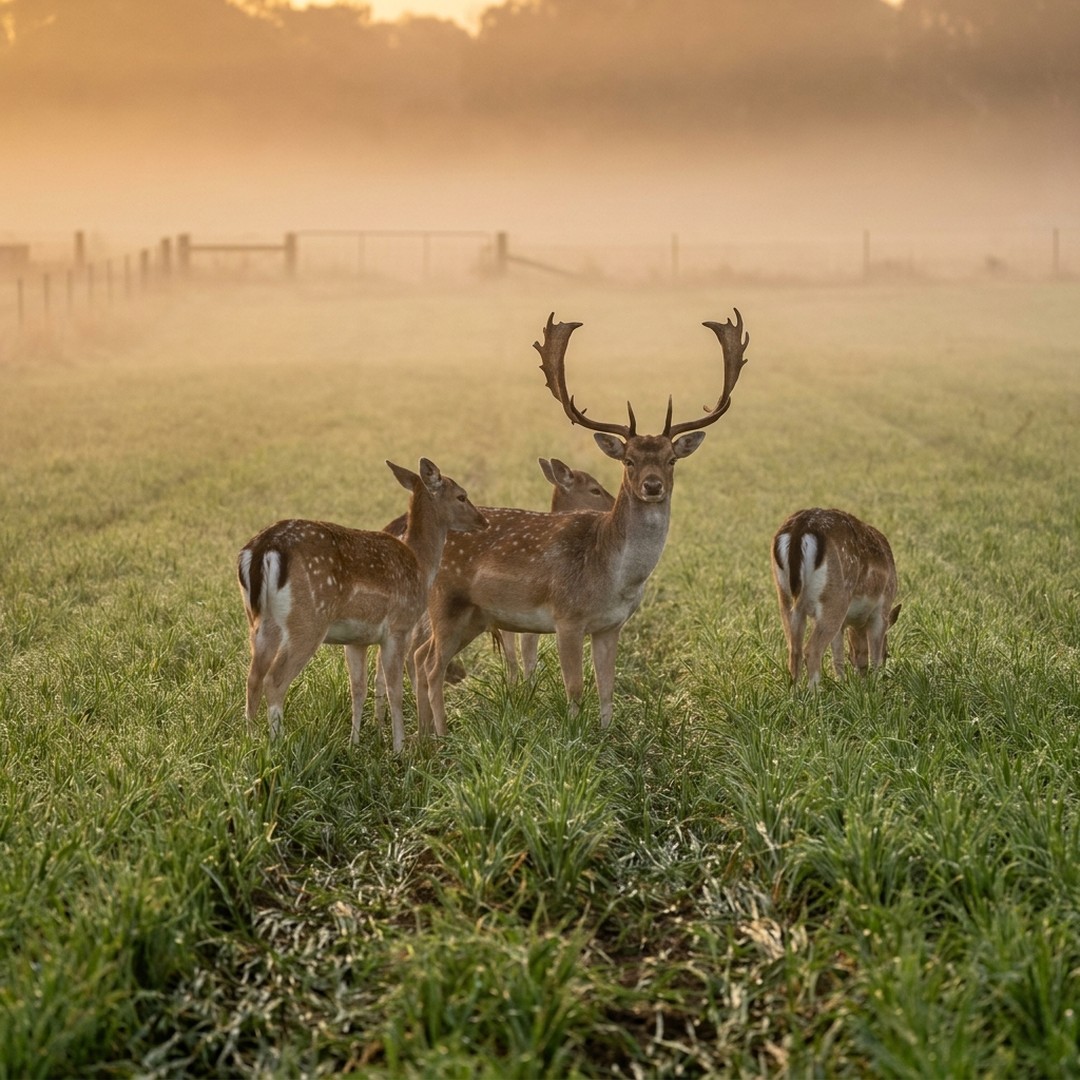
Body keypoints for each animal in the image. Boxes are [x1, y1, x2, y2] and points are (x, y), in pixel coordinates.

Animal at [236, 458, 486, 753]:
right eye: (462, 496)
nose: (483, 520)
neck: (421, 565)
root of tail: (263, 548)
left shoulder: (356, 639)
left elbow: (358, 688)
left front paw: (354, 742)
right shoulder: (399, 626)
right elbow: (394, 688)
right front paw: (399, 746)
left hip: (260, 622)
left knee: (252, 679)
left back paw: (251, 741)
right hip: (307, 621)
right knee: (274, 680)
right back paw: (278, 744)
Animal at [412, 309, 750, 737]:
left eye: (672, 459)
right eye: (628, 460)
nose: (652, 486)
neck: (611, 576)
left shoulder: (611, 626)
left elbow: (607, 687)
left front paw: (608, 737)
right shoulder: (566, 617)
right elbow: (574, 687)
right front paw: (573, 738)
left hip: (474, 616)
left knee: (422, 657)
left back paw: (424, 735)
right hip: (446, 602)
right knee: (430, 665)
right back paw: (440, 736)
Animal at [771, 507, 901, 687]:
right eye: (887, 652)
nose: (861, 672)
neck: (859, 622)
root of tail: (799, 528)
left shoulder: (844, 624)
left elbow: (838, 657)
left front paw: (844, 685)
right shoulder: (882, 608)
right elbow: (874, 656)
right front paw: (875, 685)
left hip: (785, 597)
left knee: (794, 650)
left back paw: (795, 692)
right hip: (834, 599)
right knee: (811, 650)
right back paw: (814, 692)